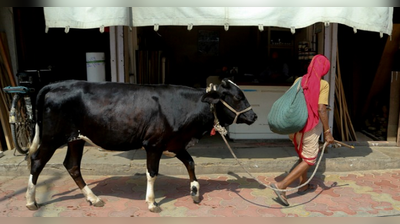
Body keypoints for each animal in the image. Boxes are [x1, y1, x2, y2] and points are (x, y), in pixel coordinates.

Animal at [25, 78, 256, 212]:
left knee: (72, 166)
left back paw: (94, 199)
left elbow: (190, 163)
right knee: (36, 162)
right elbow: (152, 172)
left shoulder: (175, 143)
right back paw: (30, 201)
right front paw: (152, 202)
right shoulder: (154, 144)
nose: (254, 116)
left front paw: (195, 192)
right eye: (238, 97)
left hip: (76, 139)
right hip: (51, 138)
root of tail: (57, 84)